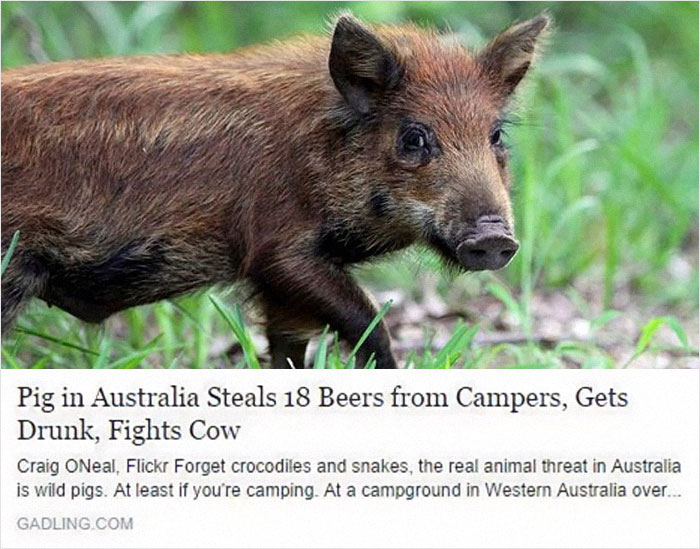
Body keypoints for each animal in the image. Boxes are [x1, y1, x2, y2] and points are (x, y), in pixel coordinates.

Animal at [1, 13, 550, 368]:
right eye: (413, 137)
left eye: (496, 135)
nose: (495, 238)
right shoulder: (278, 252)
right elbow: (370, 326)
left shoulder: (280, 285)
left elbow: (289, 348)